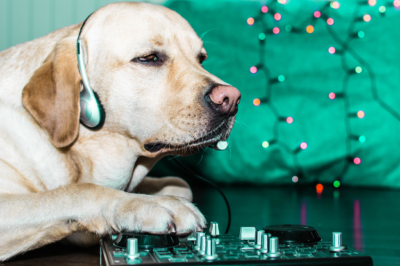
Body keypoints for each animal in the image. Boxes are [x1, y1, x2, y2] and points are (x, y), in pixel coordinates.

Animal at [0, 1, 239, 260]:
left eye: (201, 58)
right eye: (149, 58)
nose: (231, 99)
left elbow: (181, 184)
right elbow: (78, 191)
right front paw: (148, 203)